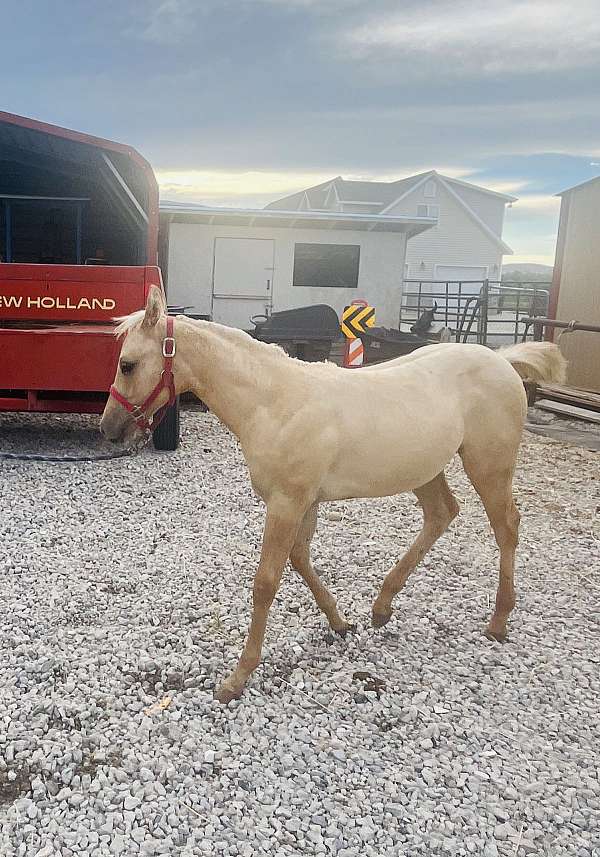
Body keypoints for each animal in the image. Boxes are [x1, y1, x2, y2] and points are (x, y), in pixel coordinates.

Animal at [101, 288, 564, 704]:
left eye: (127, 364)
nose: (108, 428)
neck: (274, 402)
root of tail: (502, 361)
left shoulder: (287, 502)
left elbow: (266, 582)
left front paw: (237, 678)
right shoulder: (303, 501)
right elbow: (300, 559)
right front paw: (340, 622)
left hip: (488, 467)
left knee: (506, 527)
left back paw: (498, 621)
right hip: (425, 470)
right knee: (441, 513)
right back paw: (382, 607)